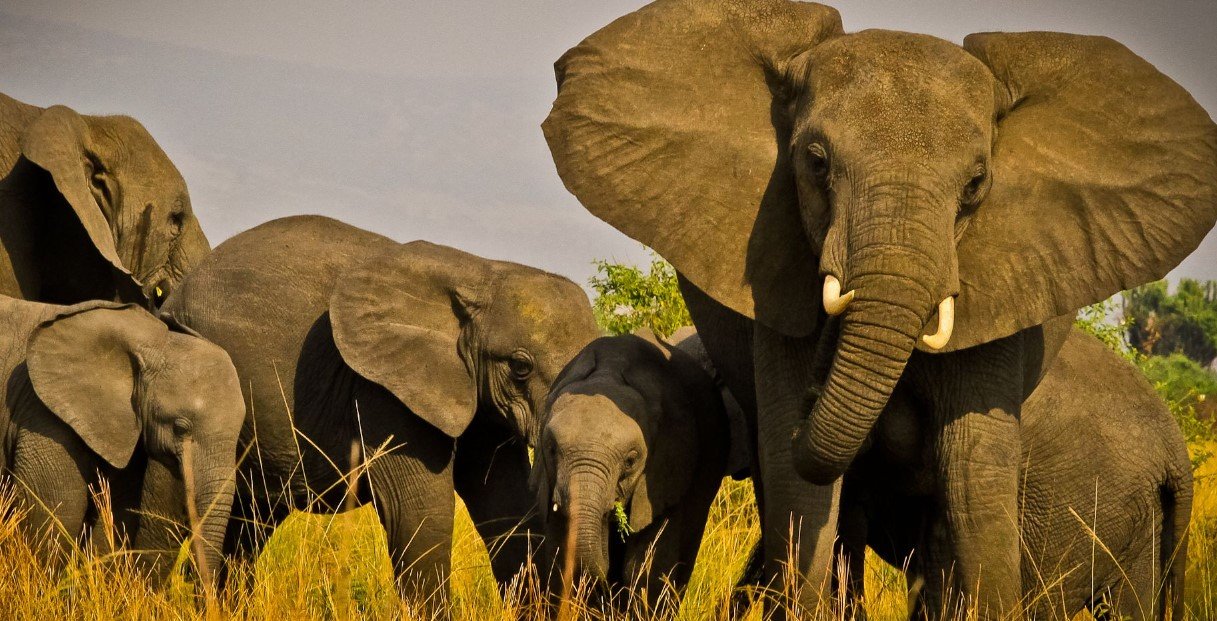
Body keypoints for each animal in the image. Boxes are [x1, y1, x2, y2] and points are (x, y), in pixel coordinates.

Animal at [160, 215, 602, 611]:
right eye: (520, 366)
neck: (481, 274)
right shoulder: (382, 389)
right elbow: (420, 513)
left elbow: (507, 508)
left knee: (251, 521)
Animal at [532, 328, 745, 608]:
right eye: (552, 449)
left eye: (631, 461)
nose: (606, 576)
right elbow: (559, 555)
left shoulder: (669, 465)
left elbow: (646, 566)